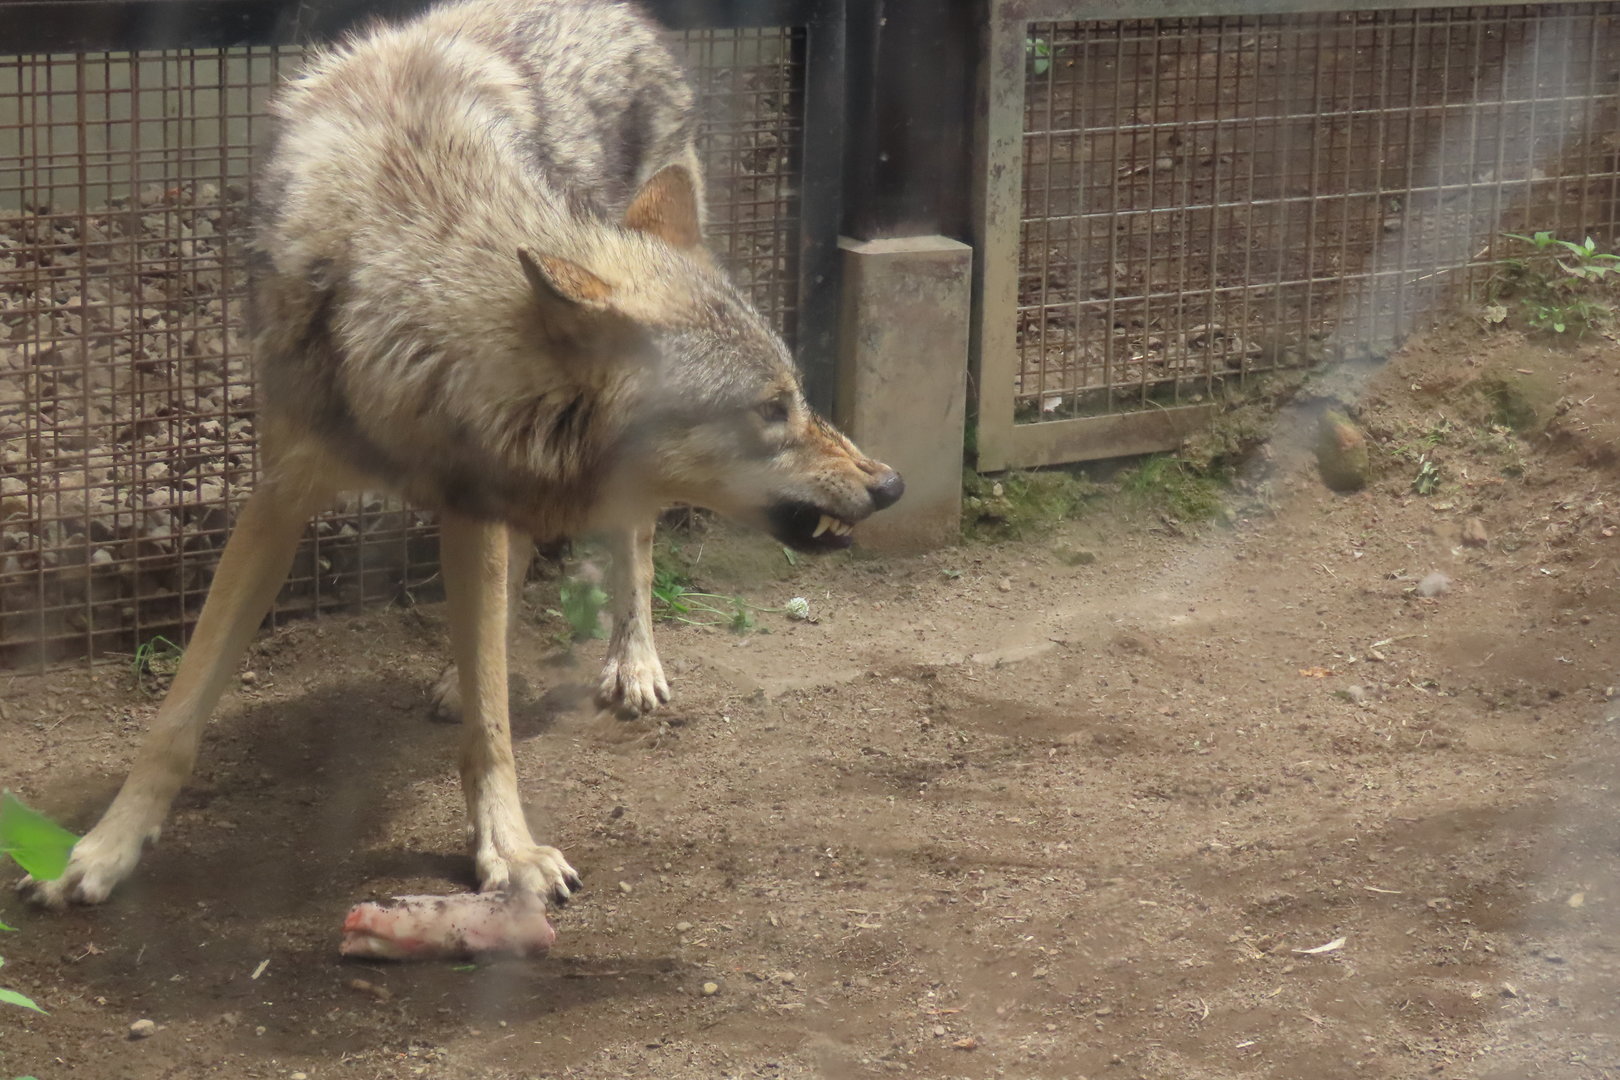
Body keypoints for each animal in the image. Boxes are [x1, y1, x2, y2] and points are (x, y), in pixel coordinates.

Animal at [22, 0, 902, 910]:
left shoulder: (473, 500)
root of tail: (618, 14)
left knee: (636, 547)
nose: (891, 483)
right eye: (771, 410)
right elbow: (179, 709)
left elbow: (493, 728)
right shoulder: (281, 499)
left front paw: (507, 849)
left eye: (795, 397)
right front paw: (100, 848)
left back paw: (632, 665)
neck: (401, 332)